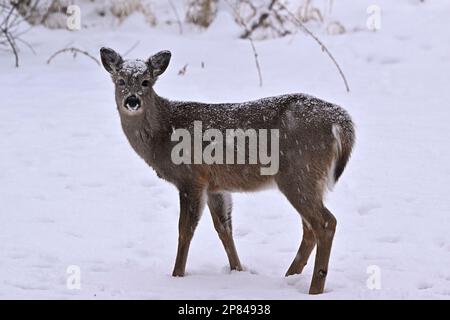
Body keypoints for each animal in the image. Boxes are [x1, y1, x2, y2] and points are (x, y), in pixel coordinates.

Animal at [99, 46, 356, 294]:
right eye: (120, 81)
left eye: (146, 81)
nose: (132, 101)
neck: (164, 134)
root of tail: (340, 120)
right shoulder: (216, 186)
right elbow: (224, 228)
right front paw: (238, 270)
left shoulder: (191, 178)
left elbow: (185, 230)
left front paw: (176, 275)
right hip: (308, 179)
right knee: (309, 228)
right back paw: (290, 276)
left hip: (298, 173)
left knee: (325, 223)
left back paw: (314, 288)